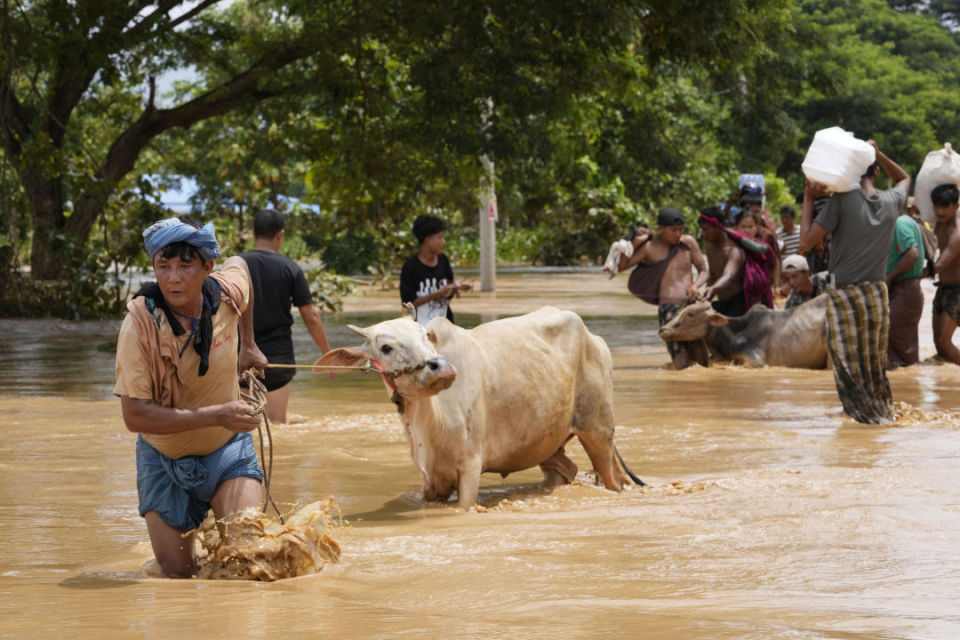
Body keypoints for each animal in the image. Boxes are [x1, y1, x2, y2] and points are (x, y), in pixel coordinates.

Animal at [316, 306, 644, 510]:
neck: (429, 422)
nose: (442, 367)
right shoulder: (429, 481)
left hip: (597, 430)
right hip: (548, 442)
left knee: (613, 478)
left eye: (425, 336)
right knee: (566, 469)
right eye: (385, 347)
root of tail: (595, 338)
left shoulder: (470, 467)